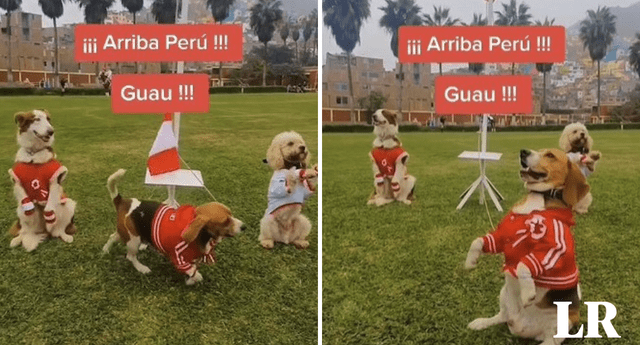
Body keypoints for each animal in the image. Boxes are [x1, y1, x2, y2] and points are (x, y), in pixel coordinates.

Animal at [104, 169, 246, 284]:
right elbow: (192, 271)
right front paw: (195, 278)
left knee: (112, 236)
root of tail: (123, 201)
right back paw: (142, 268)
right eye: (225, 221)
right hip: (134, 240)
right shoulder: (178, 258)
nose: (244, 226)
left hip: (126, 233)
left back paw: (105, 250)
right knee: (130, 257)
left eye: (231, 214)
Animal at [464, 148, 592, 344]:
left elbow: (524, 265)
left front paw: (528, 293)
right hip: (503, 294)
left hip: (563, 322)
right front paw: (470, 261)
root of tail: (519, 327)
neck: (539, 197)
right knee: (501, 316)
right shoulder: (503, 235)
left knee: (551, 340)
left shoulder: (552, 251)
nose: (523, 151)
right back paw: (481, 322)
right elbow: (478, 241)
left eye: (550, 155)